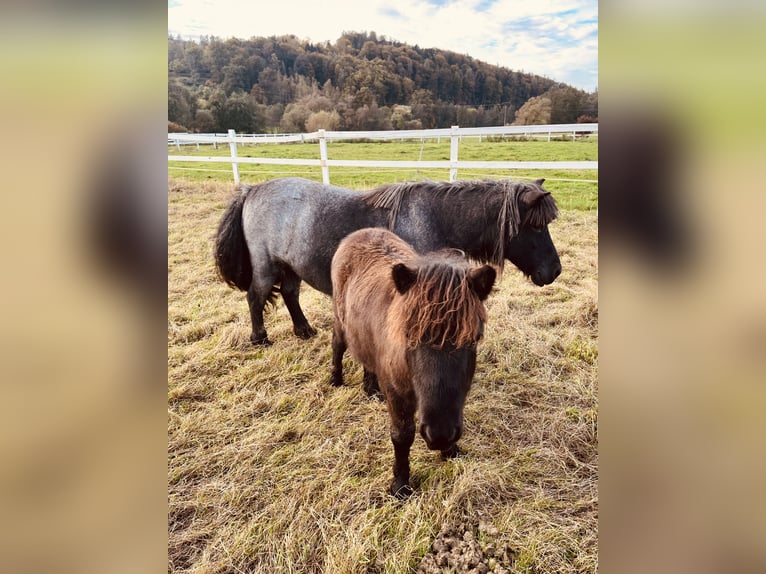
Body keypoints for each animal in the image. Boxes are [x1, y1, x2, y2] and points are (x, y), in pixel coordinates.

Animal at [213, 178, 560, 346]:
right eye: (536, 226)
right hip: (266, 266)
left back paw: (304, 330)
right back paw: (260, 339)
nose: (555, 271)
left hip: (290, 266)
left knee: (289, 294)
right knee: (255, 297)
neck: (435, 220)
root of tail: (252, 190)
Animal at [330, 228, 498, 500]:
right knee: (337, 345)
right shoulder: (398, 397)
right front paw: (400, 484)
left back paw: (370, 388)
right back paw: (335, 379)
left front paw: (451, 451)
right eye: (409, 336)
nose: (440, 435)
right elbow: (402, 436)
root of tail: (360, 233)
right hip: (340, 321)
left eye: (475, 338)